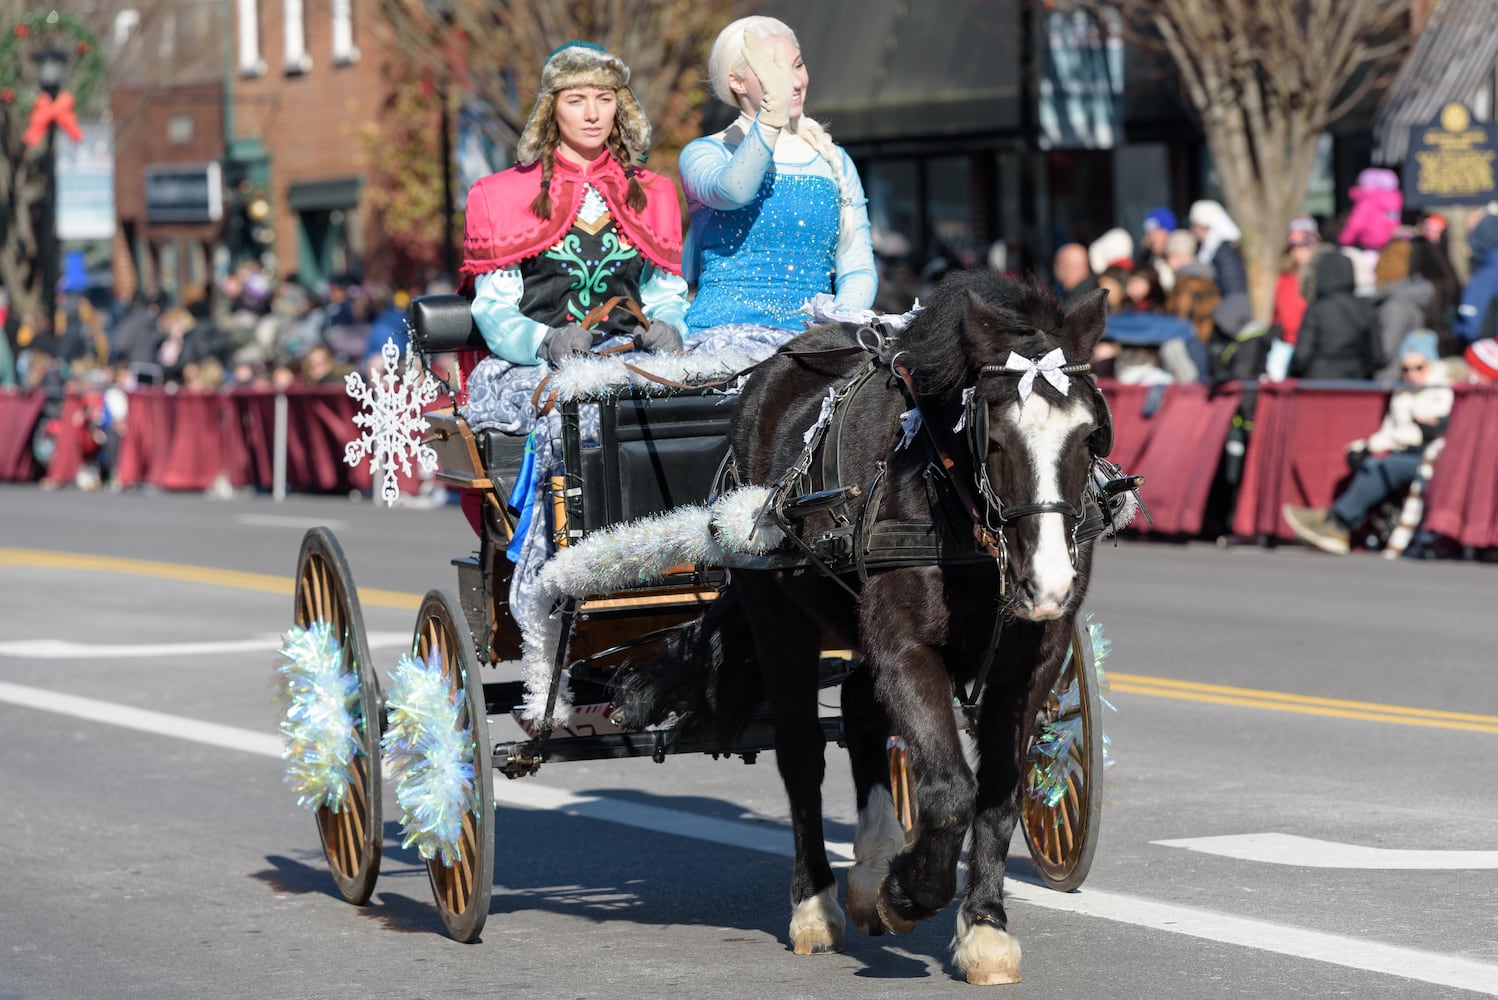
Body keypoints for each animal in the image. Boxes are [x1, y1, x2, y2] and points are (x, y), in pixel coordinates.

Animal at [611, 270, 1114, 982]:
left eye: (1091, 435)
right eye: (991, 438)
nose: (1047, 585)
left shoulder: (1032, 661)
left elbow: (999, 792)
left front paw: (984, 928)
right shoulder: (905, 648)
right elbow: (950, 791)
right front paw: (908, 895)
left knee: (857, 706)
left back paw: (871, 865)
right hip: (781, 626)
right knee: (801, 755)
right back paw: (818, 905)